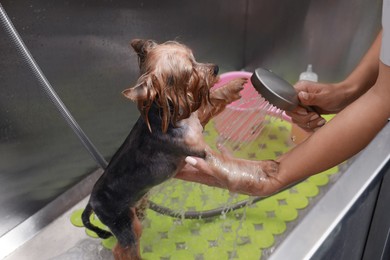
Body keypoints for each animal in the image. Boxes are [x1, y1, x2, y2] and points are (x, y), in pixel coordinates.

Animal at [81, 39, 247, 260]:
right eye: (189, 72)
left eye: (195, 58)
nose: (216, 68)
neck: (169, 114)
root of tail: (92, 201)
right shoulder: (199, 150)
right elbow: (223, 161)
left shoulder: (198, 120)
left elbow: (212, 101)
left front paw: (234, 85)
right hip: (122, 222)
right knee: (122, 249)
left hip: (133, 211)